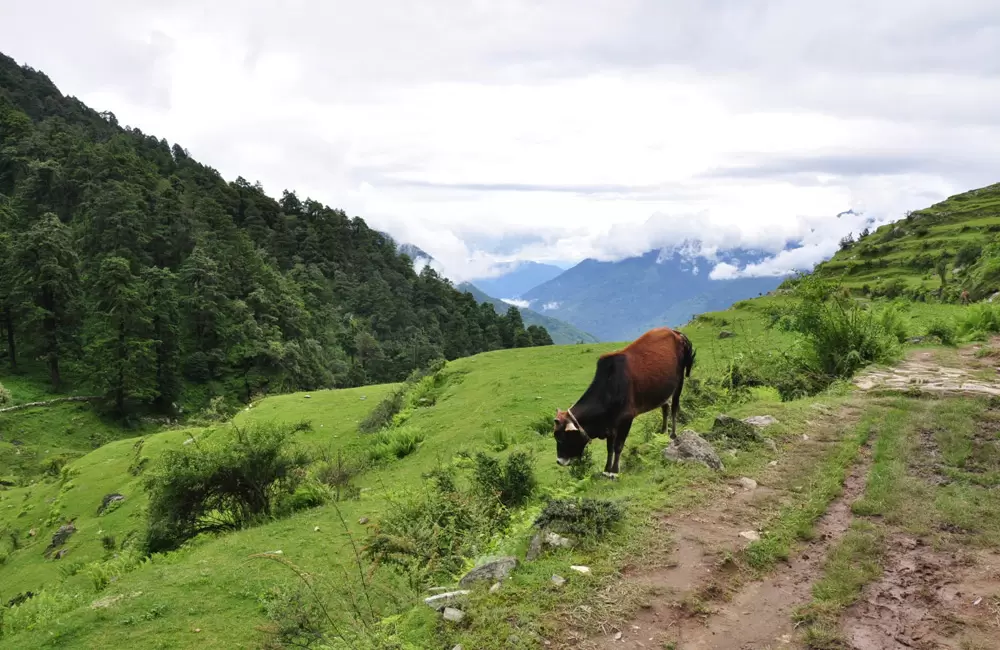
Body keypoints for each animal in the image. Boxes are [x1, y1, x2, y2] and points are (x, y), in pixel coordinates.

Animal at [556, 326, 696, 478]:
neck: (610, 387)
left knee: (674, 406)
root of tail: (676, 333)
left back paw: (672, 435)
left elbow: (618, 446)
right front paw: (606, 470)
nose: (559, 461)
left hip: (680, 379)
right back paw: (662, 432)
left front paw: (614, 472)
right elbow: (610, 448)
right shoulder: (610, 425)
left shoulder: (626, 419)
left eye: (562, 438)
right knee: (665, 406)